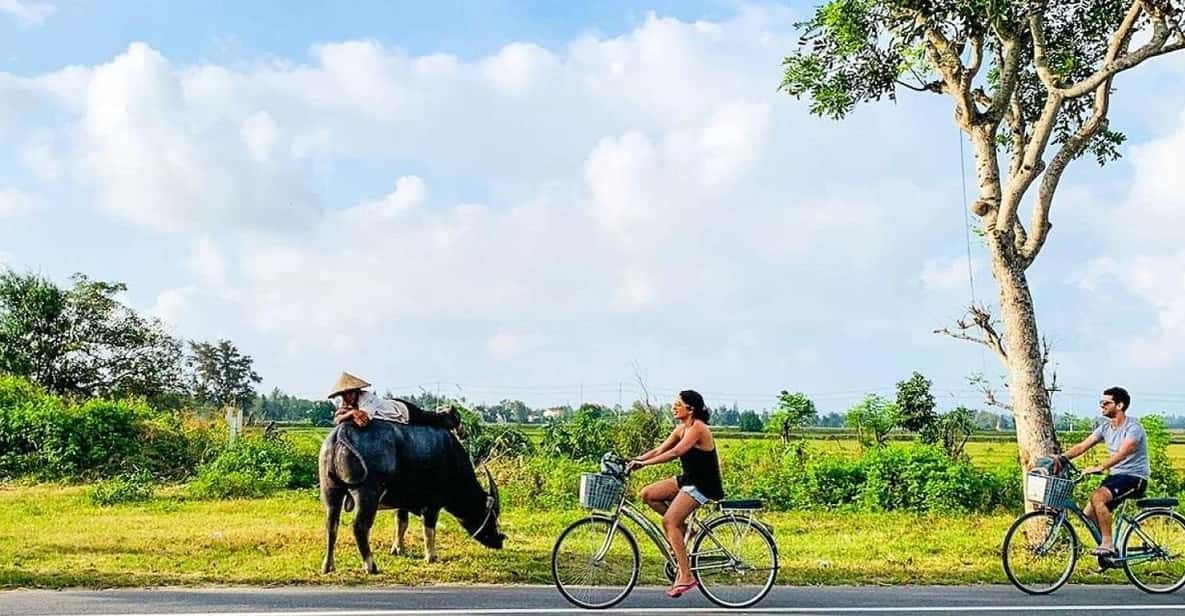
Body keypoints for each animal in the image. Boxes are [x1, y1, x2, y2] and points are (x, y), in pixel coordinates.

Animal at [317, 419, 502, 573]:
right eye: (492, 514)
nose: (500, 541)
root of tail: (343, 430)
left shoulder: (402, 503)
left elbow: (401, 523)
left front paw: (398, 549)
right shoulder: (432, 505)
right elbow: (429, 529)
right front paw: (431, 556)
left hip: (330, 491)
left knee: (331, 526)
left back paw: (328, 565)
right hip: (366, 494)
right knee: (359, 527)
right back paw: (370, 566)